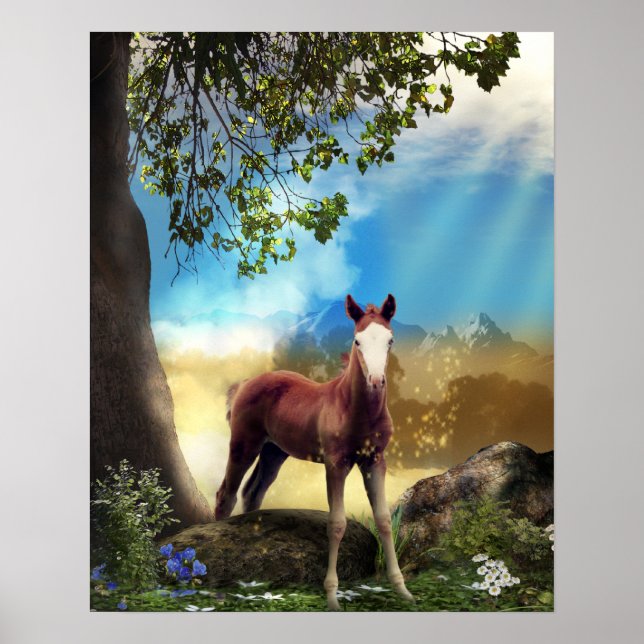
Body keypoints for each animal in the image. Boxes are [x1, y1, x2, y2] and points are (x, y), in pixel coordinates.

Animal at [214, 293, 414, 610]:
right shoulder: (335, 463)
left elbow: (383, 519)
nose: (376, 381)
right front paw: (332, 596)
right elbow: (337, 522)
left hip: (273, 452)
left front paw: (402, 590)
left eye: (390, 340)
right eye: (357, 341)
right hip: (243, 445)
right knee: (226, 495)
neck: (354, 409)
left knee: (252, 492)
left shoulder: (375, 461)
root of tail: (245, 383)